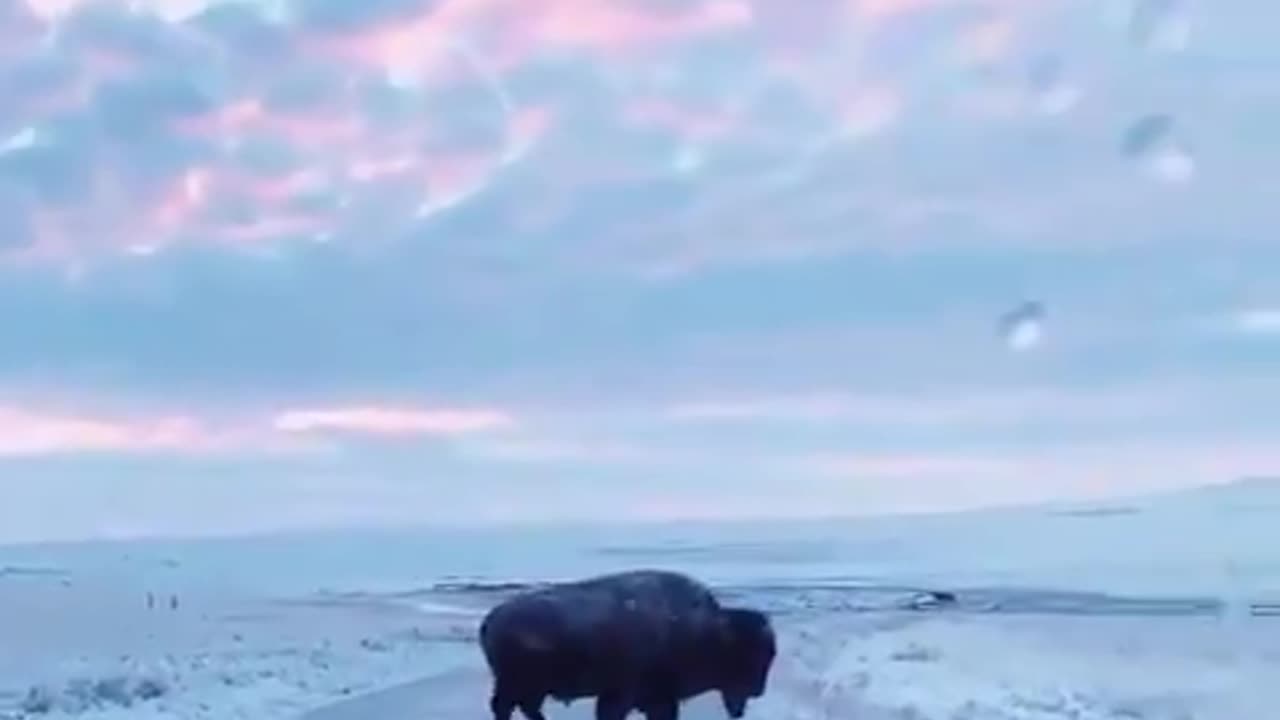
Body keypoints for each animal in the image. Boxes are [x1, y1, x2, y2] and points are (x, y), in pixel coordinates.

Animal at [481, 566, 778, 717]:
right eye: (752, 653)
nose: (758, 690)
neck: (706, 628)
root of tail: (491, 620)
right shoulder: (626, 695)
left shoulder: (658, 699)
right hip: (518, 684)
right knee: (506, 706)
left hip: (528, 687)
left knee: (522, 707)